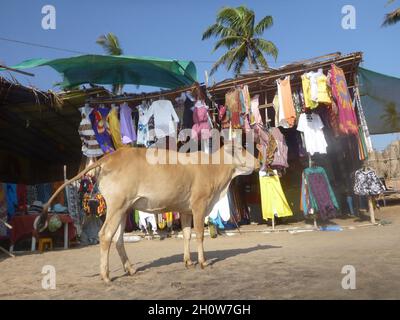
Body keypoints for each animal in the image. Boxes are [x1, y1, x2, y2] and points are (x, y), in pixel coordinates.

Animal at [37, 143, 260, 282]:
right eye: (241, 148)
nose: (259, 163)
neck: (214, 169)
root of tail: (110, 157)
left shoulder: (185, 209)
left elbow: (187, 234)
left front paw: (188, 261)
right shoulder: (199, 205)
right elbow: (199, 235)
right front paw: (203, 262)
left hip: (123, 208)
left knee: (118, 239)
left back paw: (130, 269)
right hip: (116, 205)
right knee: (105, 235)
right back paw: (106, 276)